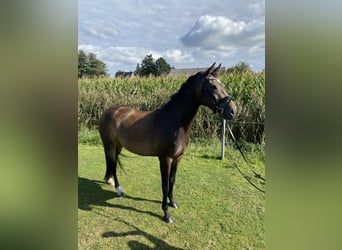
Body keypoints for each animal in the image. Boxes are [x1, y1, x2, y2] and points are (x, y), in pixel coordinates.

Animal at [99, 62, 236, 223]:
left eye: (222, 84)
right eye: (213, 86)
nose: (233, 111)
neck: (175, 122)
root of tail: (108, 111)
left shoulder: (178, 158)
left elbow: (172, 180)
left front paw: (172, 202)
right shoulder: (165, 159)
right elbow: (164, 185)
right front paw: (166, 213)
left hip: (118, 146)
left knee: (112, 163)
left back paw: (109, 180)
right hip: (109, 145)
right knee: (113, 165)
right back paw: (119, 190)